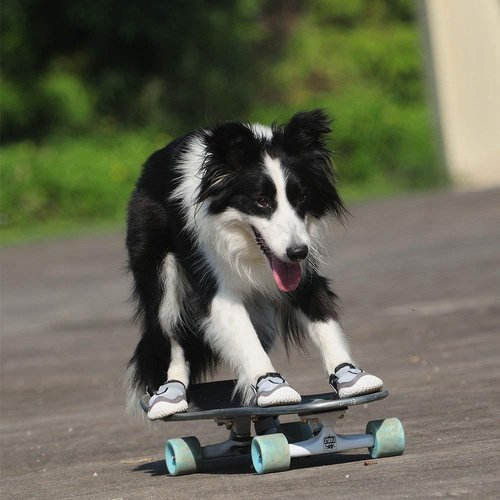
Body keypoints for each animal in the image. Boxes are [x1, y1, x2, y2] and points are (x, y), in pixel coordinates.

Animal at [125, 111, 382, 420]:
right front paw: (271, 386)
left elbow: (322, 314)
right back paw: (170, 394)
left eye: (301, 197)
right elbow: (243, 335)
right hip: (159, 264)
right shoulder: (213, 281)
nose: (297, 252)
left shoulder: (303, 271)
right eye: (262, 201)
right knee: (171, 328)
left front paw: (350, 376)